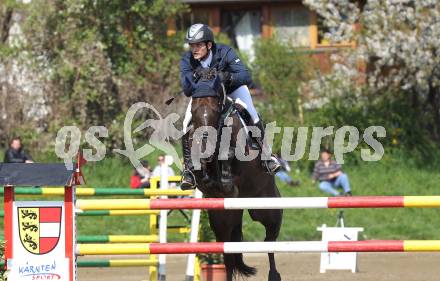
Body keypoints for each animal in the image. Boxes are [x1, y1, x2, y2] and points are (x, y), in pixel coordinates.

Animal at [187, 70, 284, 280]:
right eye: (193, 110)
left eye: (215, 108)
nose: (204, 143)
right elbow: (201, 172)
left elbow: (230, 154)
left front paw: (225, 178)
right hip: (222, 219)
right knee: (228, 254)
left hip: (267, 209)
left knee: (270, 240)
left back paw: (274, 275)